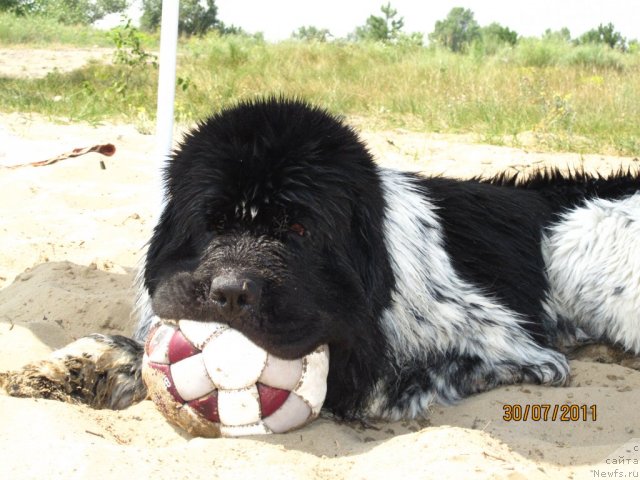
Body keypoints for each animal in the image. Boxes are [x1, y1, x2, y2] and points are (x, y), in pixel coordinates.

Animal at [2, 97, 636, 420]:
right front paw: (72, 368)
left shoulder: (510, 344)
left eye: (301, 230)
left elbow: (374, 383)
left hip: (578, 238)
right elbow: (151, 352)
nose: (230, 292)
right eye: (211, 225)